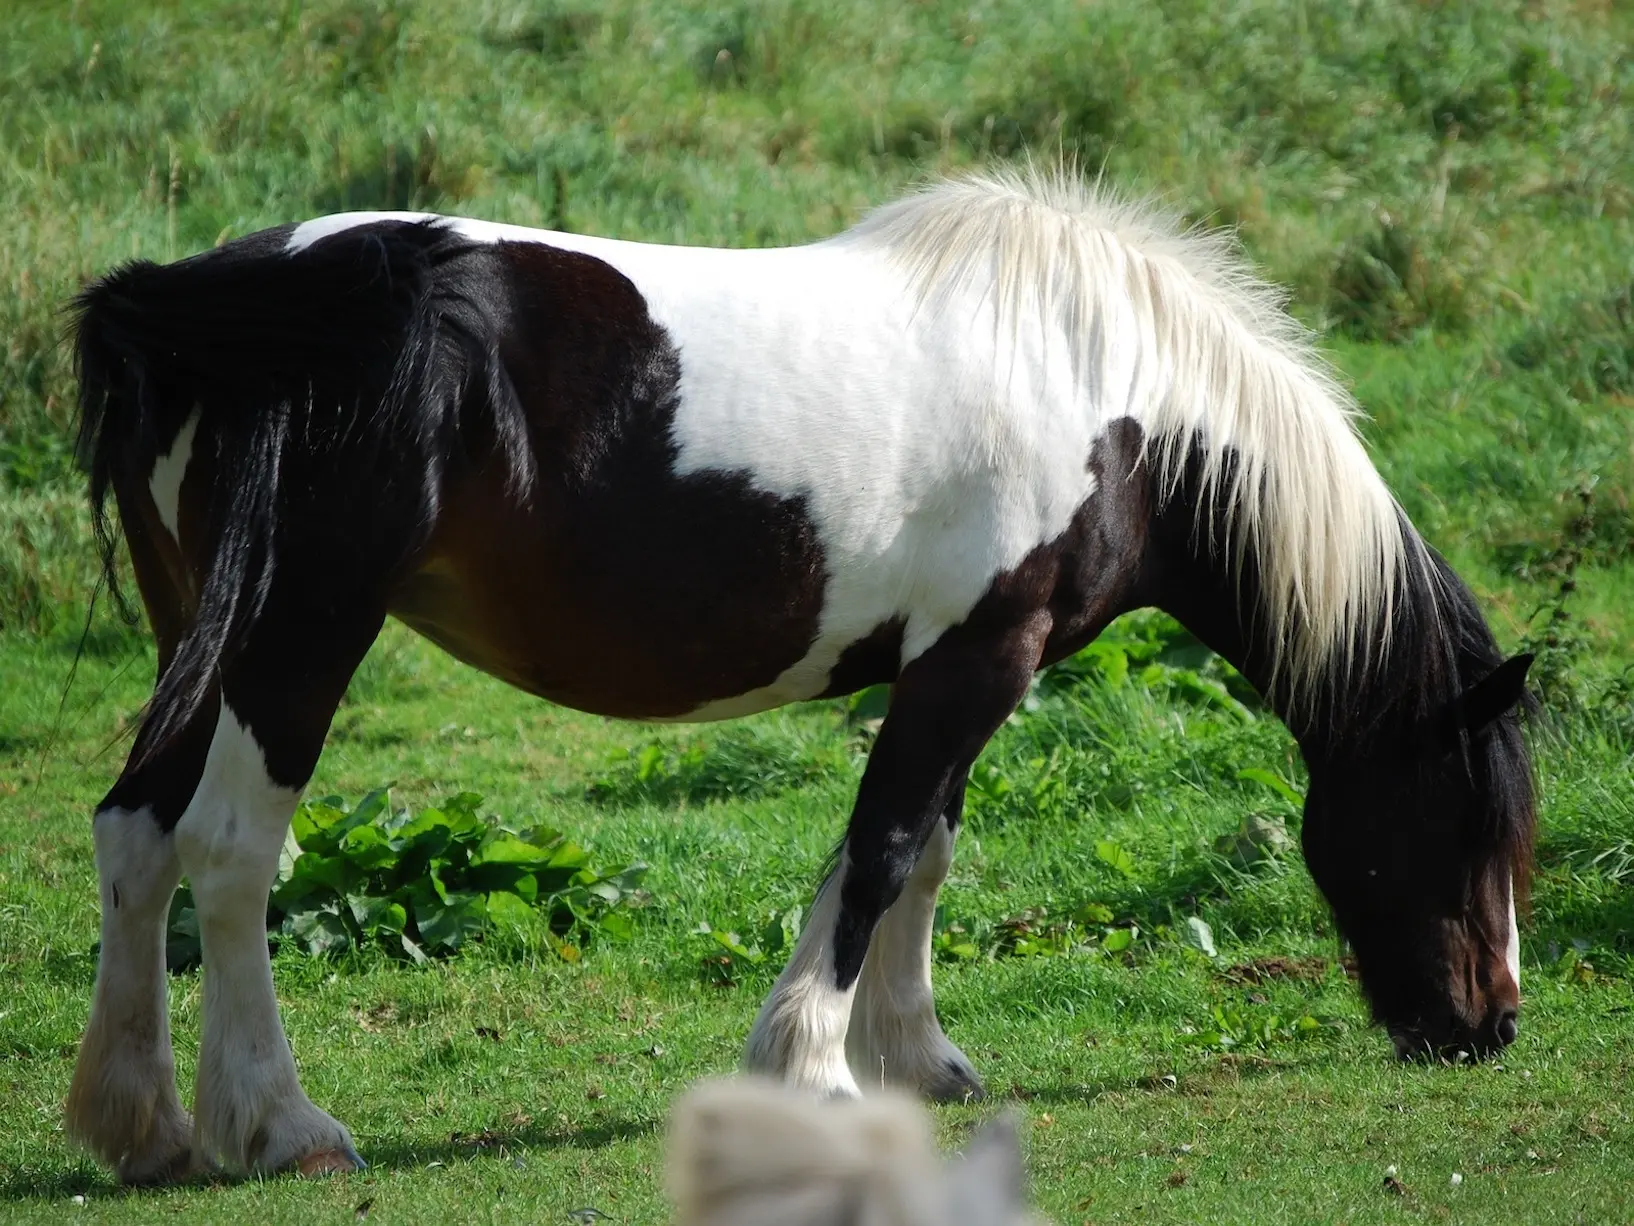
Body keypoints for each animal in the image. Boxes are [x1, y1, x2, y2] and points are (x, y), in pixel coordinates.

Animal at [66, 168, 1529, 1183]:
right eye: (1467, 823)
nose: (1489, 1026)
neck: (1115, 406)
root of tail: (223, 296)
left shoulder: (946, 666)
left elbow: (917, 853)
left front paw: (915, 1056)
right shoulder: (979, 657)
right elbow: (879, 854)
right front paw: (815, 1068)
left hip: (199, 636)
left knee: (136, 832)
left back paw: (142, 1124)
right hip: (297, 636)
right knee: (230, 850)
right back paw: (281, 1122)